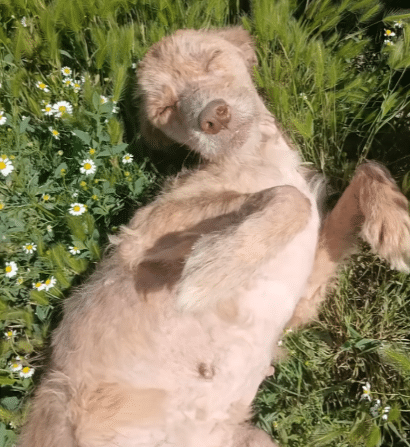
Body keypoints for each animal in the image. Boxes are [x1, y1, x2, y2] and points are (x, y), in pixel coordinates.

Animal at [18, 27, 410, 447]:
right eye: (166, 108)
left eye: (211, 60)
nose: (212, 117)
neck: (260, 158)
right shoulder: (141, 233)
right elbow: (290, 198)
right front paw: (212, 272)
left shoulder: (303, 298)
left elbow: (367, 168)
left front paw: (397, 226)